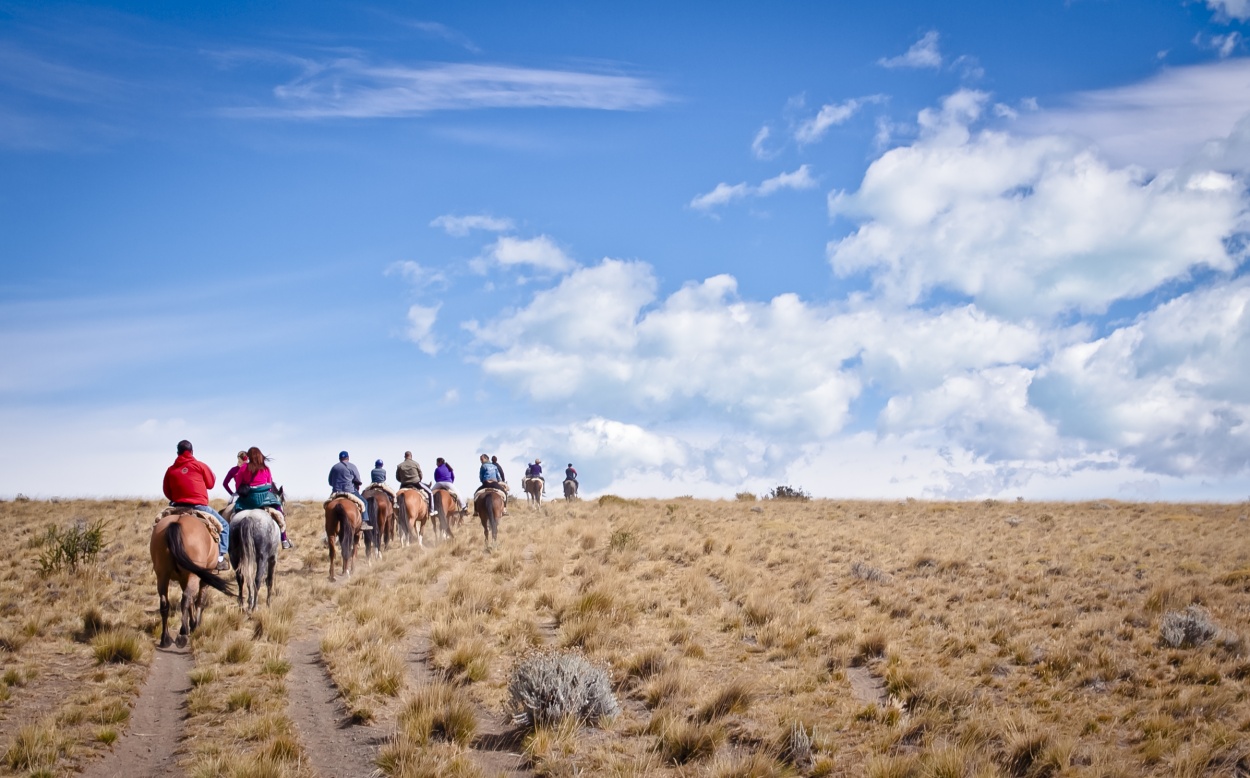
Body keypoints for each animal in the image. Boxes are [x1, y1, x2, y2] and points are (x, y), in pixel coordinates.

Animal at [150, 510, 235, 650]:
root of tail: (177, 522)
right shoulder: (204, 577)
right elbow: (199, 600)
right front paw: (195, 625)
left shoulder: (183, 578)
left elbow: (191, 601)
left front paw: (192, 622)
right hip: (193, 575)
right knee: (185, 598)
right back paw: (182, 635)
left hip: (162, 575)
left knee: (165, 603)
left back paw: (165, 638)